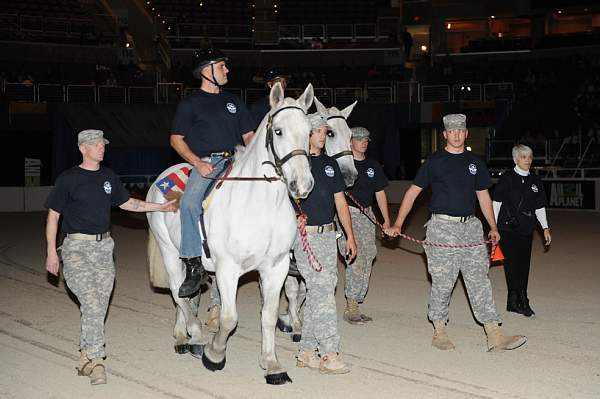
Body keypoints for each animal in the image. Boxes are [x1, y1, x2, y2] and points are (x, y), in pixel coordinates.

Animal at [146, 83, 314, 384]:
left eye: (308, 131)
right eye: (278, 131)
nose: (302, 184)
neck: (260, 206)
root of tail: (161, 178)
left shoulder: (276, 268)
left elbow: (269, 315)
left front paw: (271, 364)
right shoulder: (228, 268)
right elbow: (228, 318)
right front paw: (214, 355)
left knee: (187, 295)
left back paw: (183, 336)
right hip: (169, 252)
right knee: (178, 293)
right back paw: (196, 337)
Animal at [278, 97, 358, 340]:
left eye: (351, 134)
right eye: (330, 133)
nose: (350, 177)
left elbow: (306, 289)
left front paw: (291, 318)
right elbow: (292, 290)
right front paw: (294, 324)